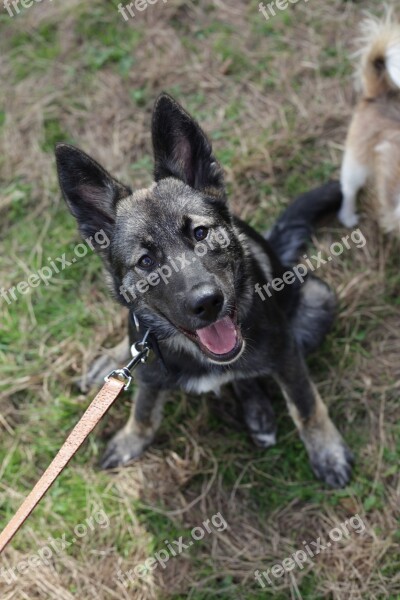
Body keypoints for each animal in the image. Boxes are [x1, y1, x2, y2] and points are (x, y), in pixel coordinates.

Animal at [54, 92, 354, 488]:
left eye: (200, 233)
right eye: (146, 261)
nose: (208, 304)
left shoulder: (287, 353)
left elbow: (305, 405)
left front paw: (327, 451)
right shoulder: (150, 369)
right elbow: (144, 409)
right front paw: (130, 439)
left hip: (318, 301)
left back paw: (258, 412)